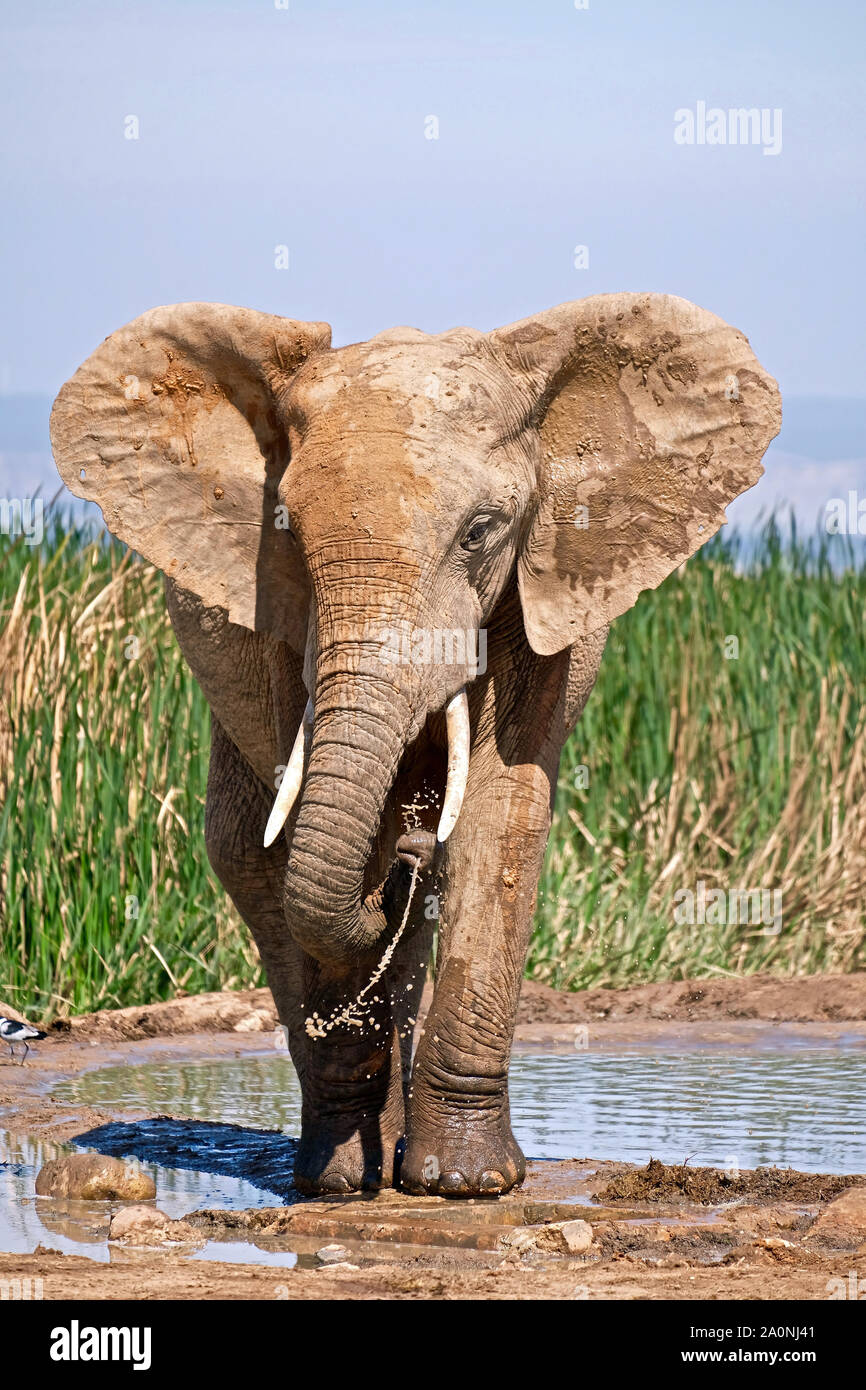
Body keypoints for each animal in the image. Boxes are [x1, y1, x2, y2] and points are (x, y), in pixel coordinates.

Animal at [48, 290, 778, 1195]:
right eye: (286, 530)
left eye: (481, 532)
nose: (396, 871)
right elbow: (309, 833)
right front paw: (353, 1178)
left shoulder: (539, 588)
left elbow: (501, 814)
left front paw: (464, 1183)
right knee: (246, 851)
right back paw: (347, 1161)